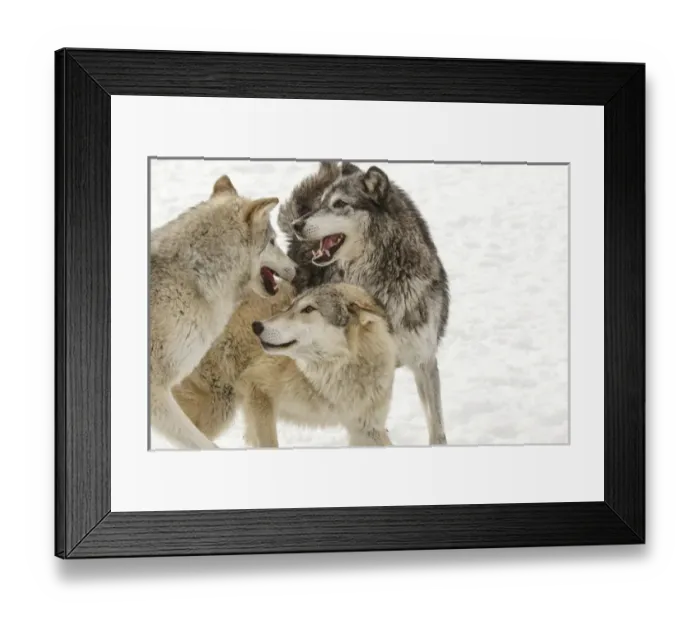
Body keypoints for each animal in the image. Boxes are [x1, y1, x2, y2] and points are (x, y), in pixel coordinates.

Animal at [173, 283, 397, 447]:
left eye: (308, 309)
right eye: (291, 306)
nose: (257, 326)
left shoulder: (368, 429)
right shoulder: (258, 388)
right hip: (216, 409)